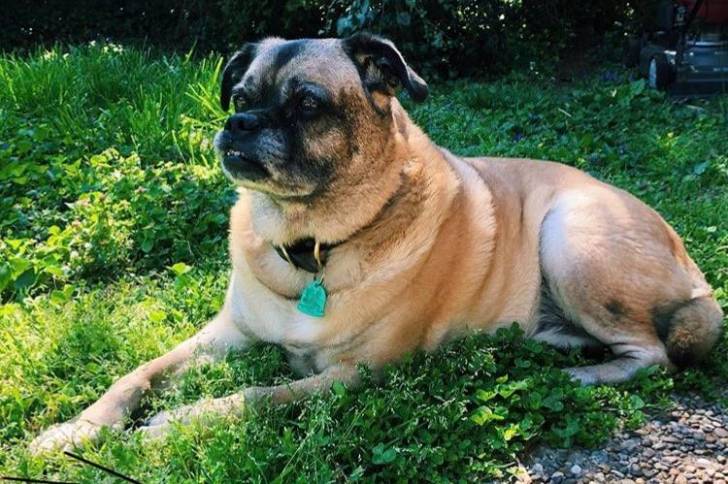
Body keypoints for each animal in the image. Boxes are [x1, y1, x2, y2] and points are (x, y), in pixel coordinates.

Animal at [28, 35, 724, 454]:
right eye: (241, 96)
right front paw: (77, 428)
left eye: (307, 105)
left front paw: (173, 424)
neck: (308, 245)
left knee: (653, 354)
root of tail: (695, 273)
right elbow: (136, 375)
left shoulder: (352, 374)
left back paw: (585, 375)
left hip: (569, 237)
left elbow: (256, 397)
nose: (239, 123)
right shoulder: (225, 334)